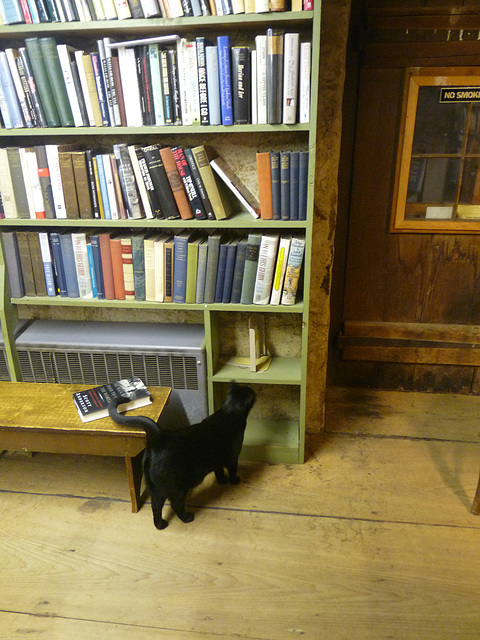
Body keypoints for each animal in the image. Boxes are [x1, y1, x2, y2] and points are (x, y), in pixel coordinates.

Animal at [109, 382, 256, 528]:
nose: (253, 390)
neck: (228, 413)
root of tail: (158, 440)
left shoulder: (217, 461)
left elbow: (218, 471)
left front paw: (222, 481)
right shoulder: (233, 458)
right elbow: (232, 471)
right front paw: (234, 481)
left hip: (155, 489)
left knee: (156, 507)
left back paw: (160, 525)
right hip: (179, 488)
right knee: (176, 505)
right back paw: (187, 518)